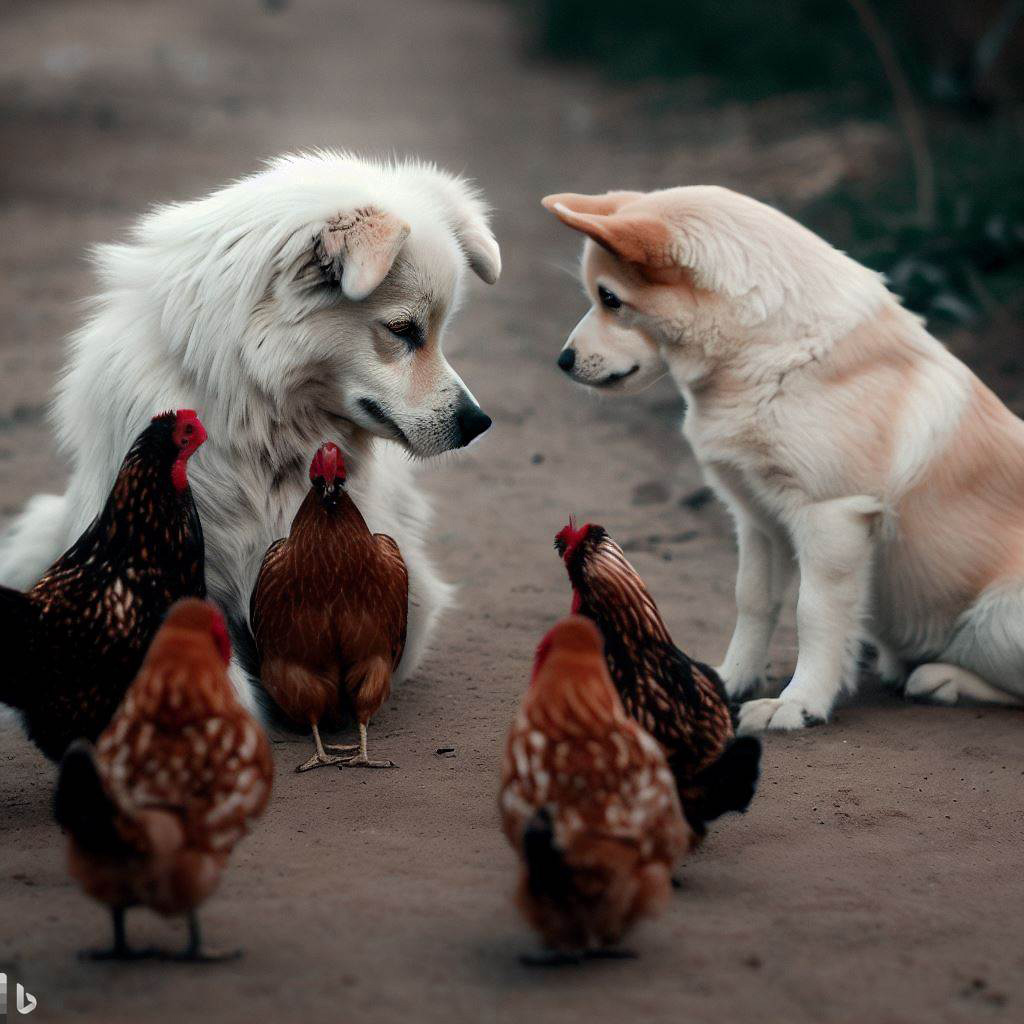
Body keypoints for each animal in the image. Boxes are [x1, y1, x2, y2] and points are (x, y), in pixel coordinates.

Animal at [544, 184, 1024, 729]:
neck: (773, 352)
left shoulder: (831, 517)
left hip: (996, 622)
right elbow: (753, 601)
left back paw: (939, 678)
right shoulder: (758, 519)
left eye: (610, 299)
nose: (562, 362)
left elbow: (811, 613)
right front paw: (731, 680)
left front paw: (799, 703)